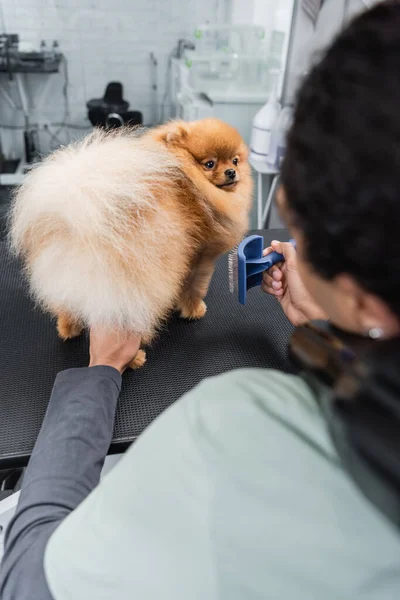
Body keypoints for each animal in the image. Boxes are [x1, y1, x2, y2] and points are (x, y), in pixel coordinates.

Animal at [9, 118, 252, 366]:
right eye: (210, 164)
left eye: (235, 160)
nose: (231, 172)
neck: (189, 178)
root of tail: (78, 225)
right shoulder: (200, 258)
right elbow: (195, 288)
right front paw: (193, 310)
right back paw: (134, 359)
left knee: (66, 306)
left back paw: (69, 329)